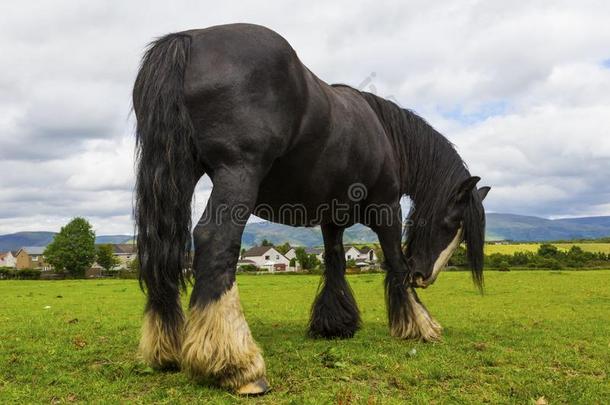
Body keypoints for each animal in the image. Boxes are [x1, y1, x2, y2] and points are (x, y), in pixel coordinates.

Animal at [132, 23, 490, 392]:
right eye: (450, 224)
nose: (424, 276)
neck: (384, 133)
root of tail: (189, 39)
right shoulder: (387, 208)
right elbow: (395, 261)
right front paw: (421, 325)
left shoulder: (332, 220)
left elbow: (335, 263)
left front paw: (335, 324)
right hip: (238, 172)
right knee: (215, 241)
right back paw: (236, 365)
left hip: (177, 176)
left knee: (161, 250)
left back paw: (166, 351)